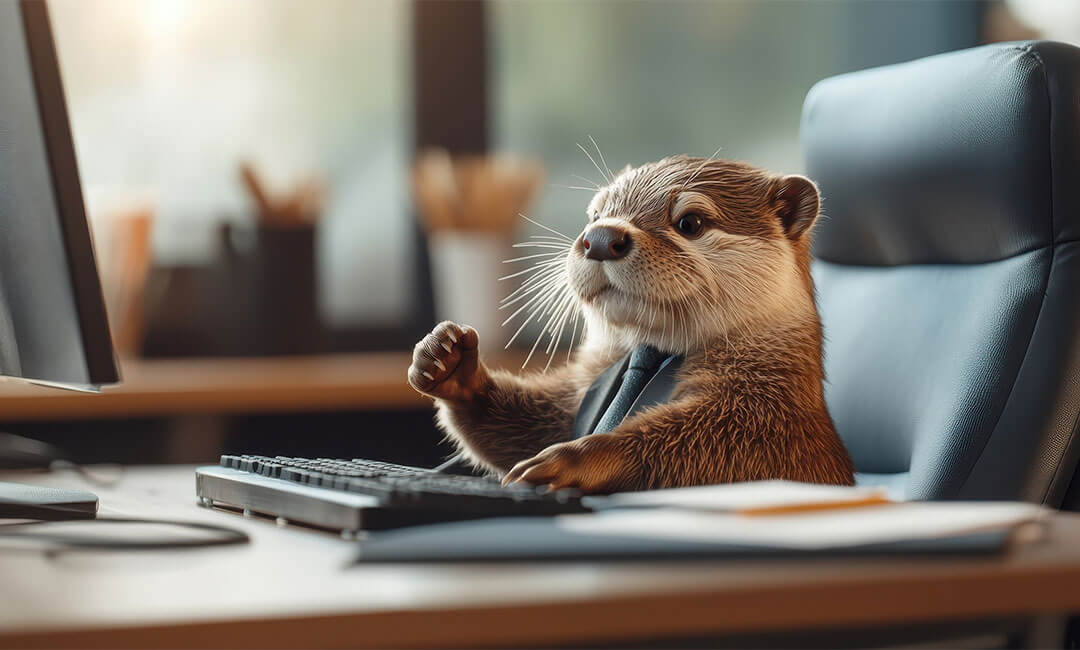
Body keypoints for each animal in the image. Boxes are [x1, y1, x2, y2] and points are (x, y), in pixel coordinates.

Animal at [406, 154, 851, 494]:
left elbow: (707, 448)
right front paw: (448, 361)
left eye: (690, 222)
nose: (601, 237)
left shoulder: (768, 424)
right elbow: (530, 424)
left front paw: (573, 459)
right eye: (596, 214)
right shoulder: (576, 393)